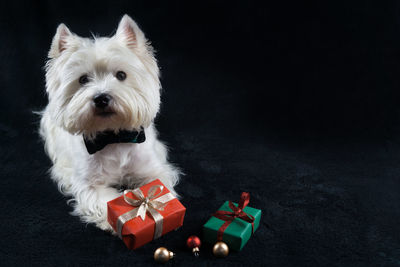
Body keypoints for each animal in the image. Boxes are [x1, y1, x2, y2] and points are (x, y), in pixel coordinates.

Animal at [39, 15, 180, 232]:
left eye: (121, 75)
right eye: (83, 79)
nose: (101, 98)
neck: (113, 137)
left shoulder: (153, 170)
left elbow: (157, 187)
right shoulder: (88, 185)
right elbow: (105, 200)